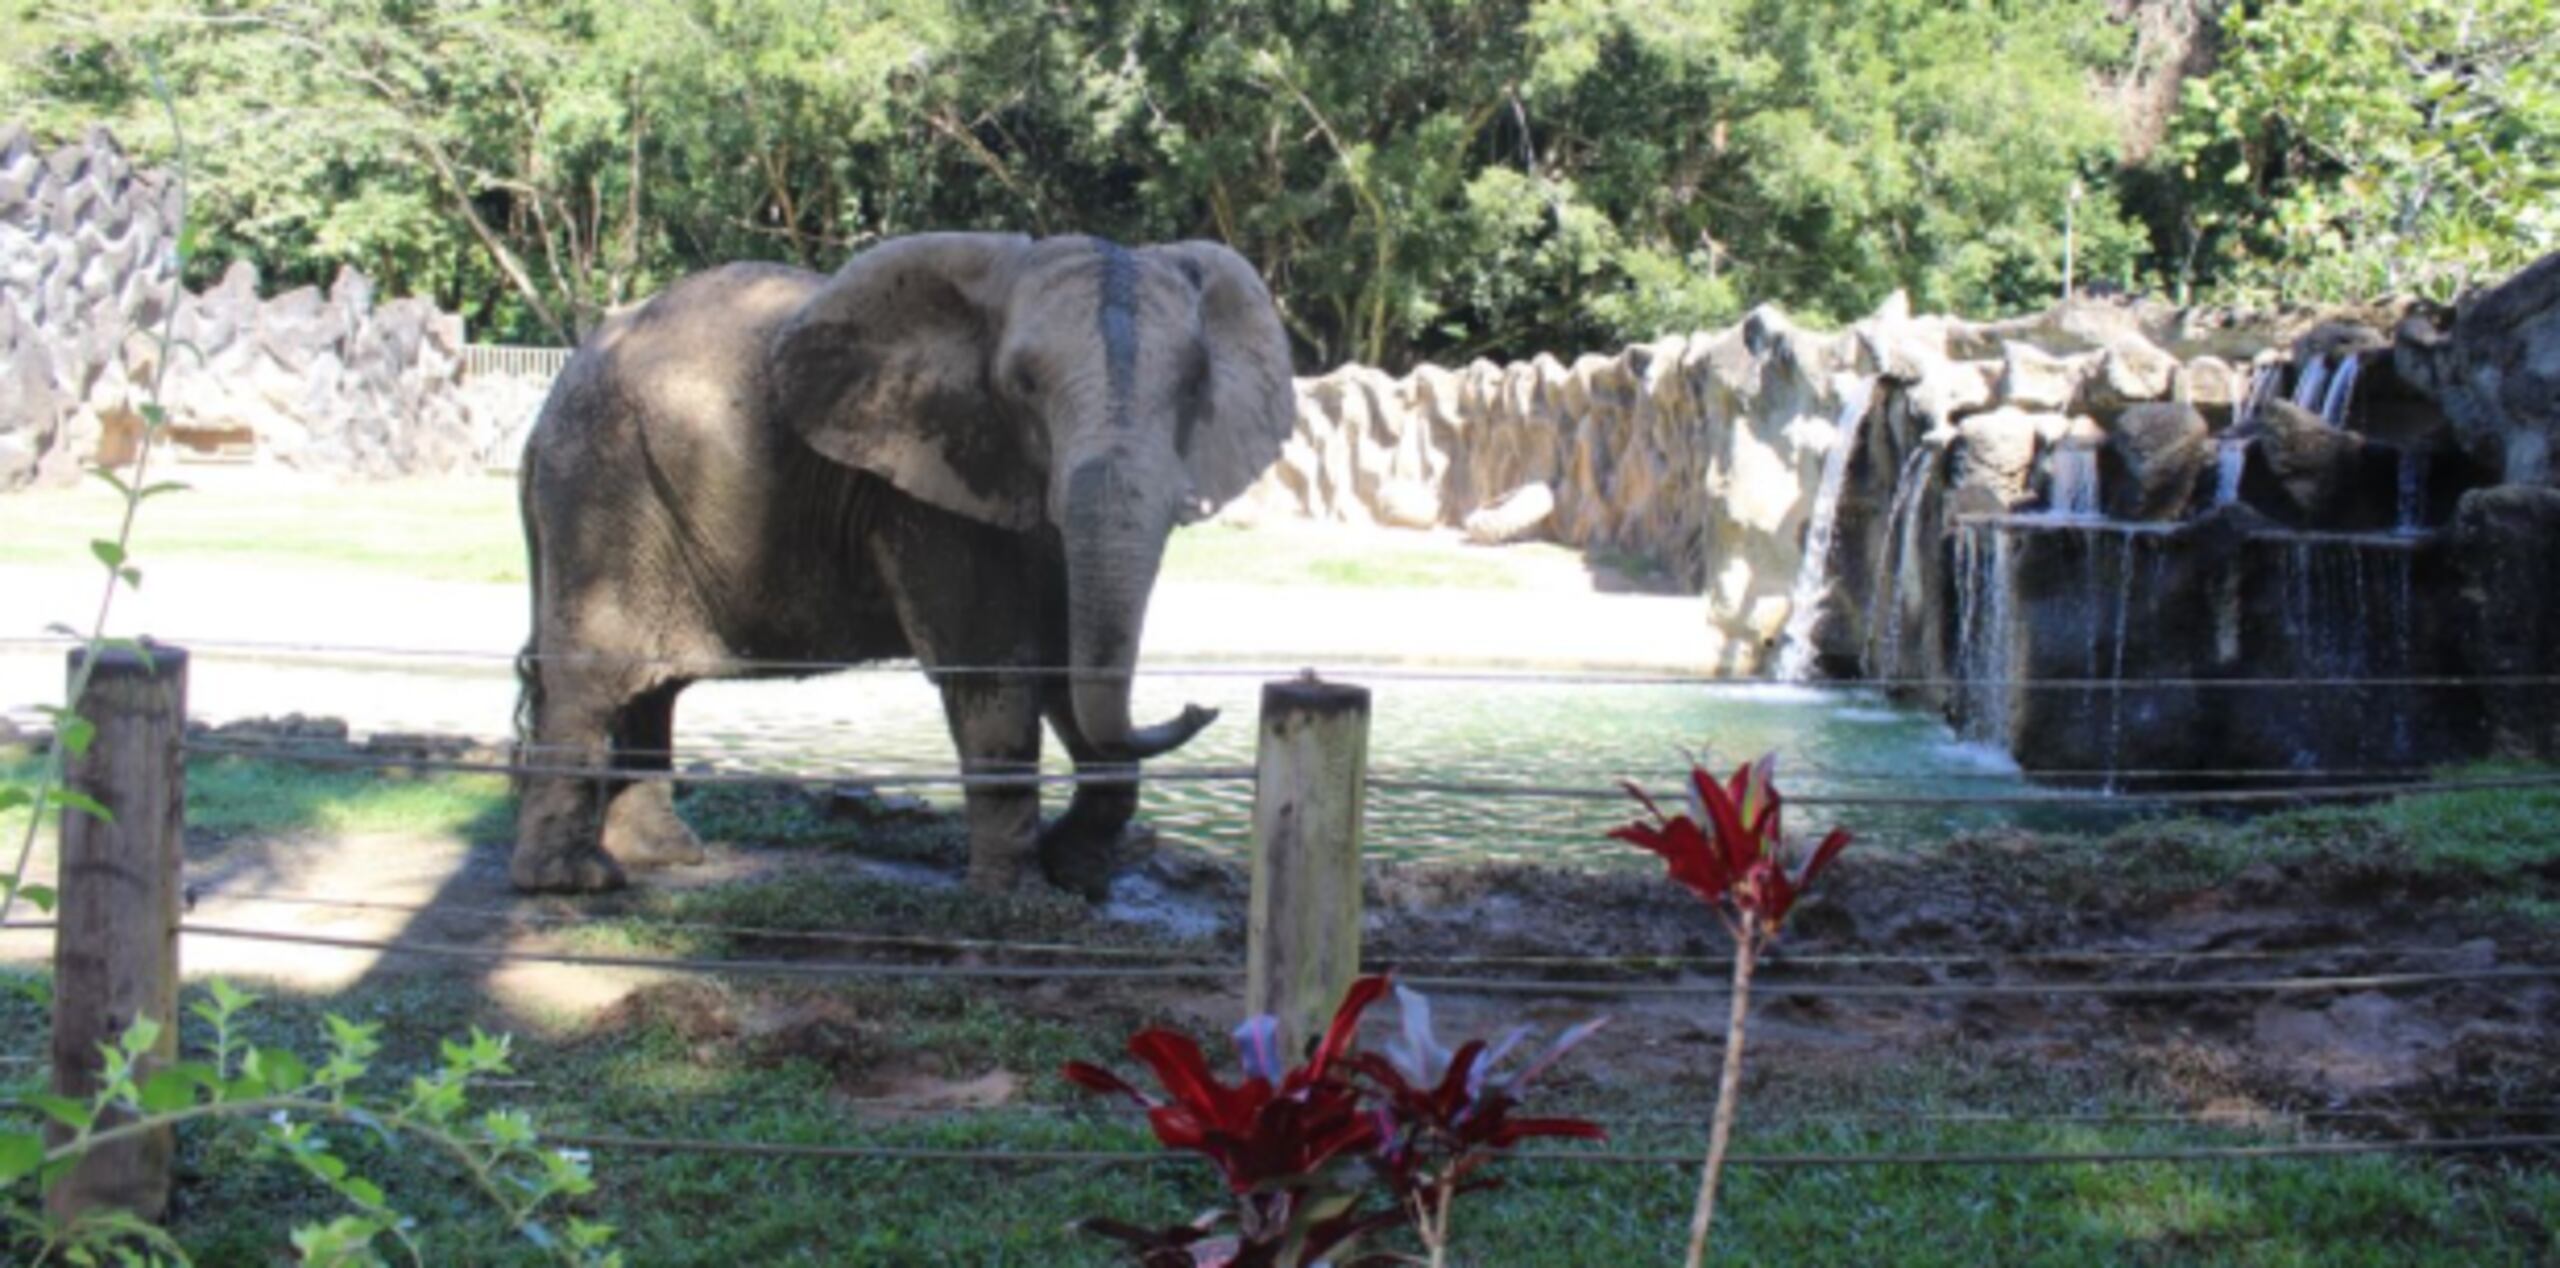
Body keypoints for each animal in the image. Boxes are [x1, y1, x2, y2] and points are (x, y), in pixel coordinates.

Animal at [506, 235, 1290, 891]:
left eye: (1195, 385)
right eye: (1024, 386)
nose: (1199, 705)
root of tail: (544, 412)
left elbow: (1069, 662)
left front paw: (1076, 875)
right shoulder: (927, 487)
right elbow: (995, 668)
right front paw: (1021, 903)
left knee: (648, 689)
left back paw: (664, 856)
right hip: (602, 482)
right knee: (592, 675)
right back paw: (574, 881)